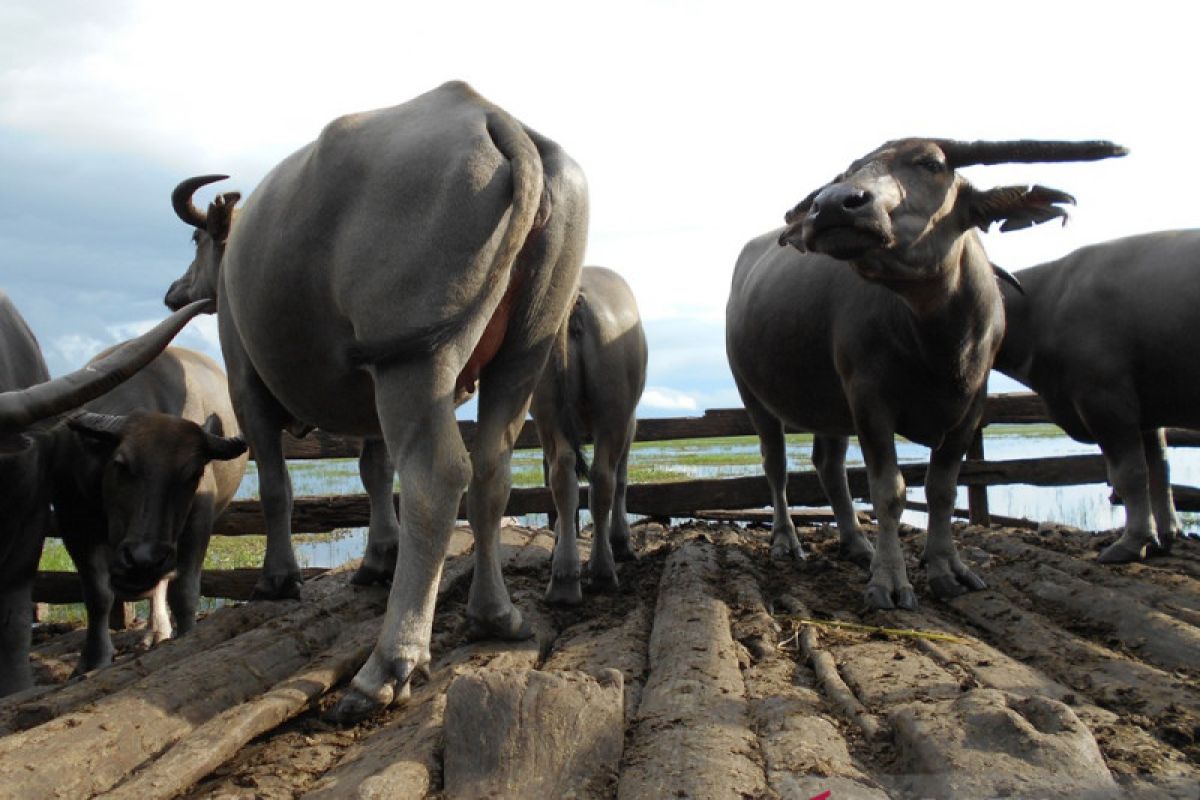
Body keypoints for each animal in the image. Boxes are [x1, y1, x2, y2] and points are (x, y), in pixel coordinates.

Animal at [0, 293, 211, 695]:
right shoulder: (74, 519)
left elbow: (15, 610)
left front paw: (16, 686)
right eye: (121, 466)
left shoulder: (31, 518)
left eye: (191, 474)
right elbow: (98, 593)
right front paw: (93, 661)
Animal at [163, 82, 585, 724]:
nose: (173, 293)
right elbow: (374, 469)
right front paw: (378, 558)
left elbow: (277, 486)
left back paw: (386, 668)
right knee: (490, 472)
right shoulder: (371, 403)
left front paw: (278, 578)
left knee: (438, 476)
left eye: (195, 239)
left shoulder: (246, 383)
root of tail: (491, 116)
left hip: (415, 364)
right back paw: (494, 614)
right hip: (521, 356)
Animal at [532, 266, 648, 604]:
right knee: (604, 479)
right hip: (613, 417)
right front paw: (621, 541)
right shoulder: (629, 423)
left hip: (548, 413)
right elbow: (622, 479)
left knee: (562, 474)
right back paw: (603, 569)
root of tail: (576, 298)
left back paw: (564, 579)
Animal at [724, 137, 1128, 609]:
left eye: (932, 164)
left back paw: (856, 543)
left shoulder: (972, 407)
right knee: (776, 464)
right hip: (752, 392)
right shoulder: (869, 399)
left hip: (830, 404)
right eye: (848, 174)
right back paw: (788, 540)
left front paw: (947, 568)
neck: (937, 340)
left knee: (829, 465)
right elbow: (889, 491)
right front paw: (889, 582)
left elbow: (942, 490)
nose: (832, 205)